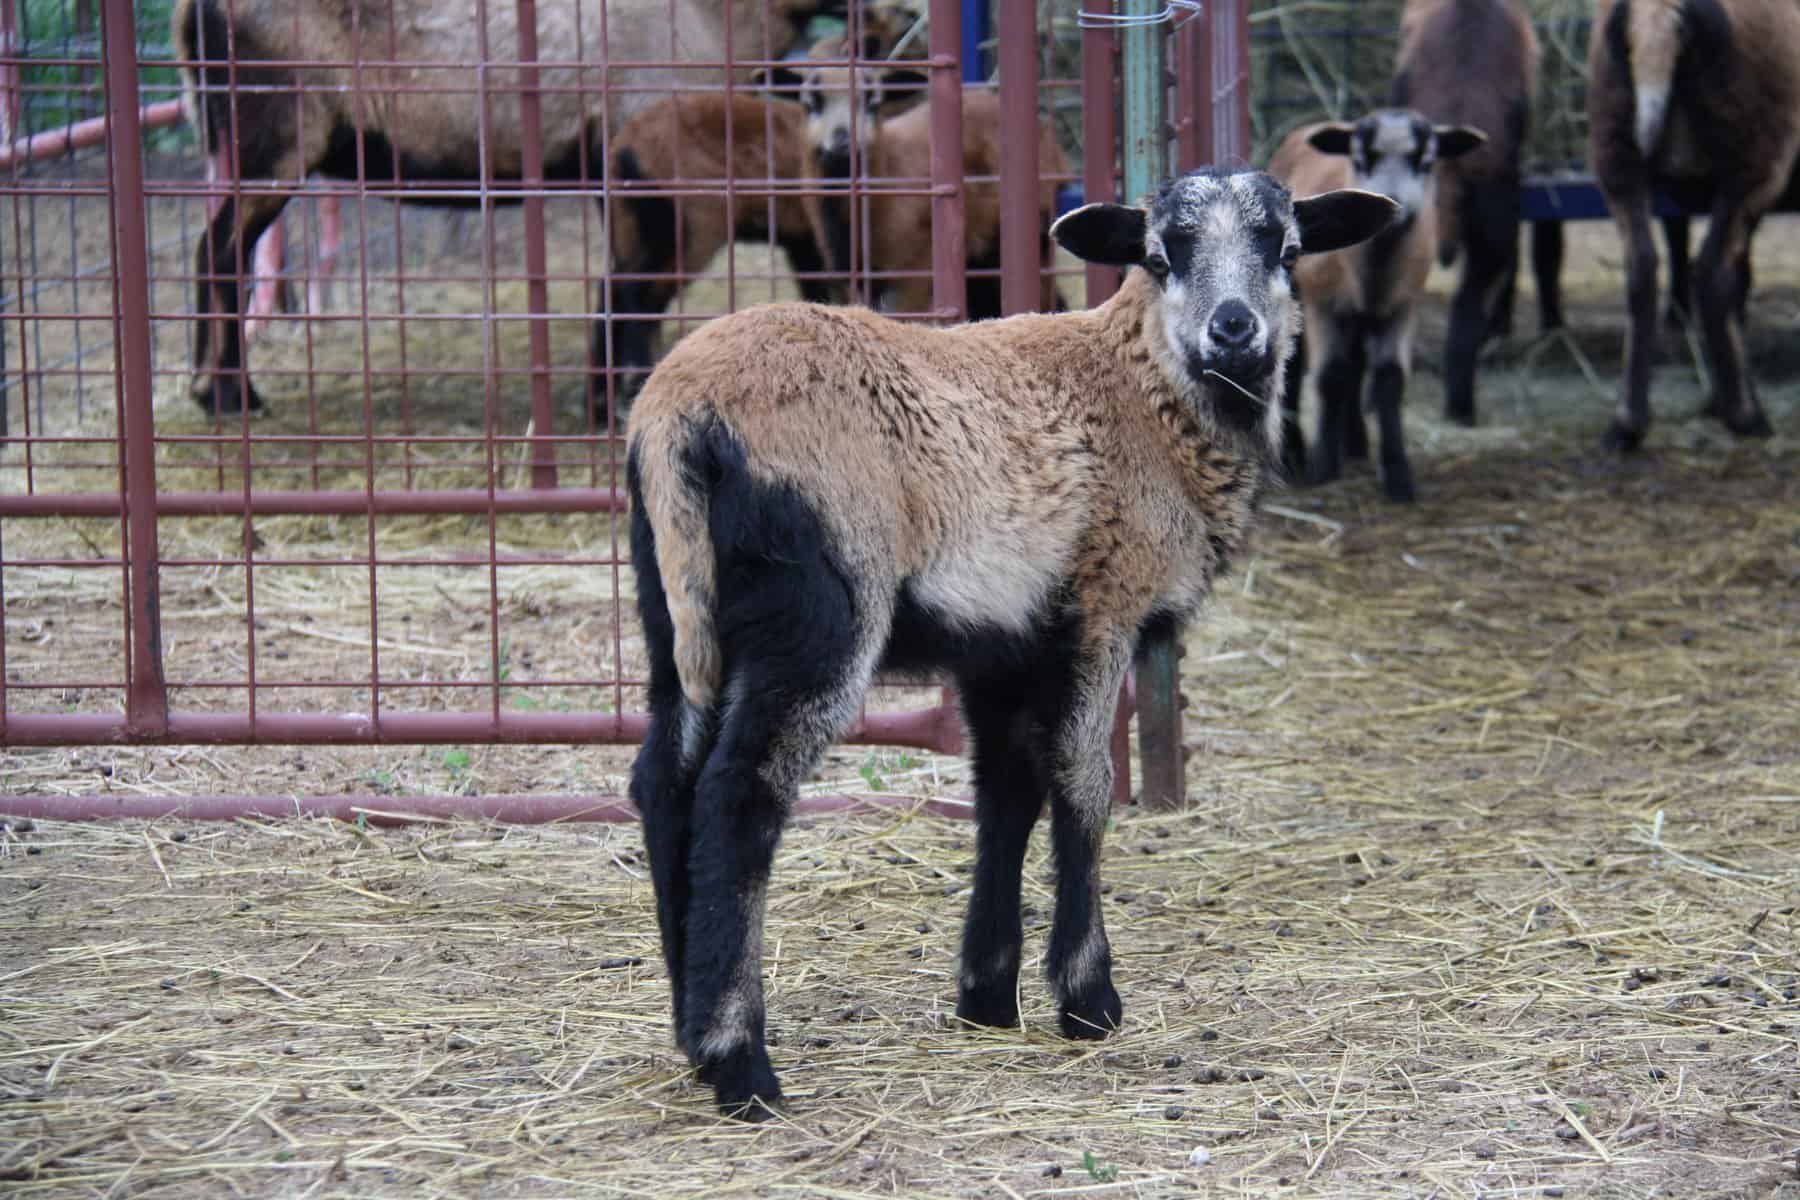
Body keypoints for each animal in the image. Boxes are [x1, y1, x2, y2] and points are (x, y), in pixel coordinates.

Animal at [598, 93, 837, 406]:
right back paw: (637, 383)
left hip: (632, 227)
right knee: (640, 296)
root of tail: (625, 147)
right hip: (690, 229)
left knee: (612, 290)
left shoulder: (805, 243)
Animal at [623, 167, 1397, 1116]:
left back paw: (690, 1025)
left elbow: (1006, 792)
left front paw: (988, 994)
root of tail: (679, 416)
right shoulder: (1103, 605)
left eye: (1284, 249)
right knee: (739, 792)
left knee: (663, 779)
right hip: (819, 601)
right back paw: (741, 1063)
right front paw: (1088, 997)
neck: (1145, 392)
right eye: (1161, 253)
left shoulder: (999, 639)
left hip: (674, 604)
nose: (1234, 329)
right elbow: (1083, 784)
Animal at [1270, 111, 1484, 502]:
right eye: (1360, 159)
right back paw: (1294, 452)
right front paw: (1324, 467)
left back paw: (1355, 443)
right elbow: (1330, 375)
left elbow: (1389, 378)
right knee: (1295, 367)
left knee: (1356, 366)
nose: (1396, 205)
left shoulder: (1401, 306)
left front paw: (1398, 474)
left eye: (1426, 162)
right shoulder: (1325, 305)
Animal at [1587, 0, 1797, 448]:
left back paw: (1627, 424)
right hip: (1755, 156)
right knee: (1713, 272)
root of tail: (1657, 15)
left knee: (1643, 270)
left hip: (1615, 149)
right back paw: (1746, 416)